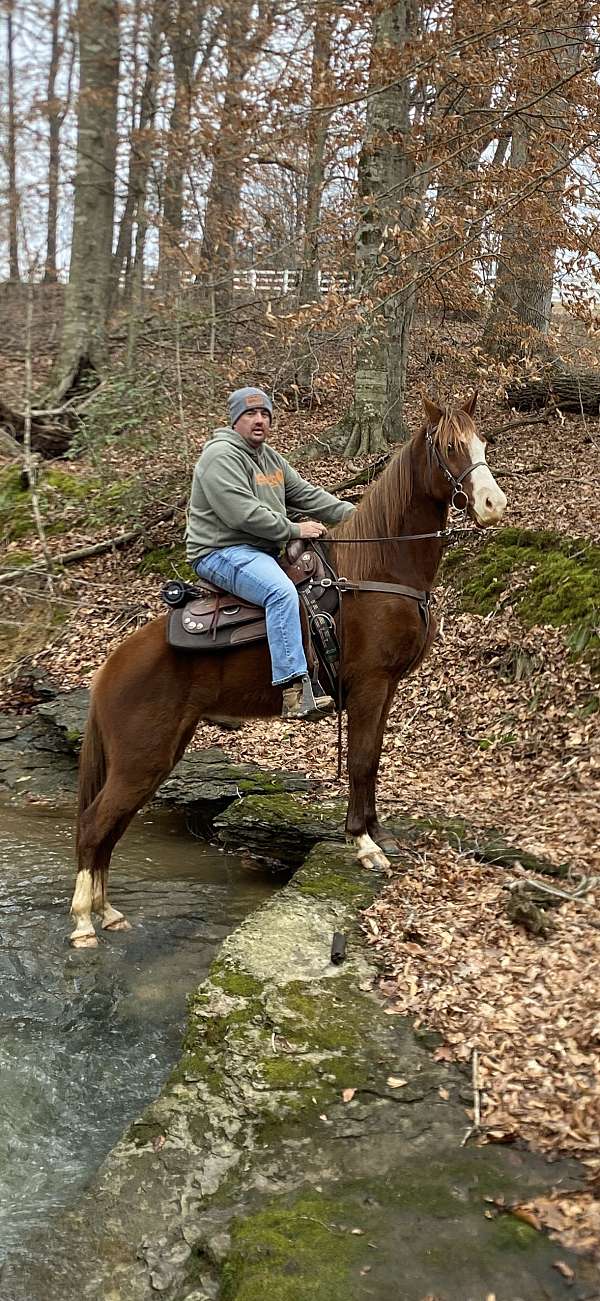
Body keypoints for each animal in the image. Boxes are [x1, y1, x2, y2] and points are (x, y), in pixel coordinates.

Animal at [70, 395, 504, 947]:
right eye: (449, 446)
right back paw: (84, 923)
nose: (493, 504)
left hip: (154, 759)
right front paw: (364, 845)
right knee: (93, 826)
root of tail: (109, 667)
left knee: (109, 829)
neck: (377, 569)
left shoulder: (385, 690)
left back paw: (106, 913)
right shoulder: (370, 685)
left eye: (483, 440)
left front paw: (377, 833)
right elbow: (360, 760)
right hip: (139, 759)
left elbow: (373, 760)